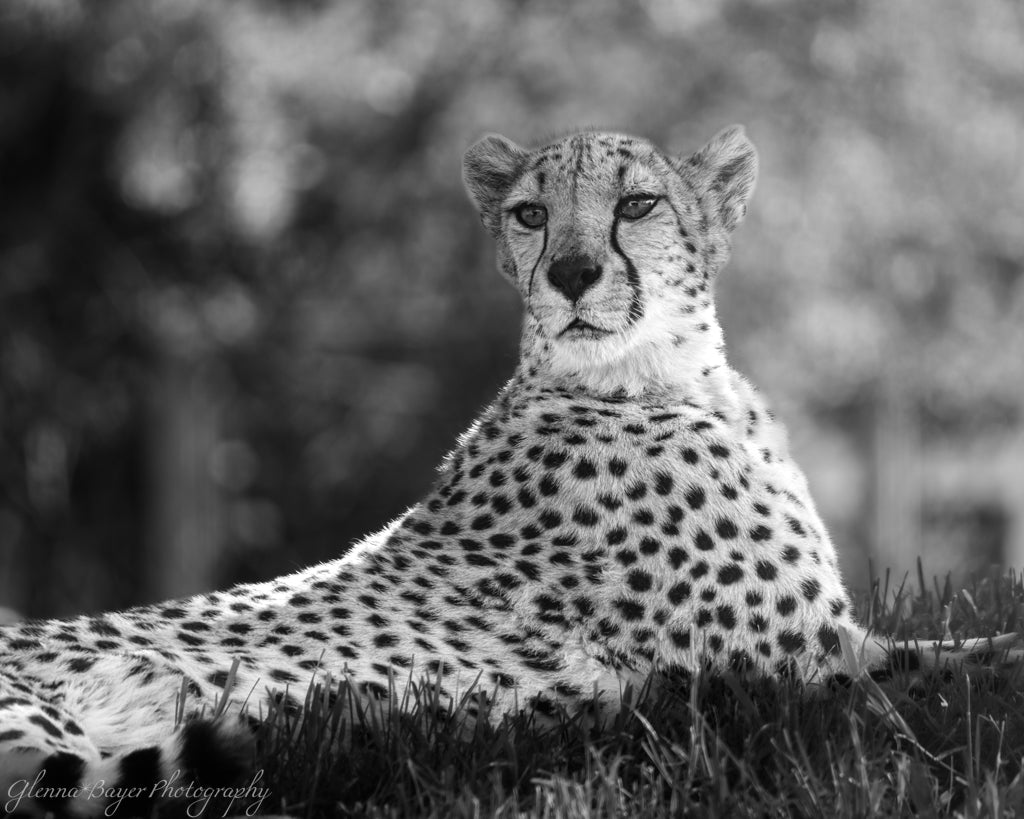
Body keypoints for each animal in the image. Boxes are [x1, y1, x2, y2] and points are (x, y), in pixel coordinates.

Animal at [0, 124, 1018, 817]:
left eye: (638, 204)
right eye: (531, 214)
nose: (569, 273)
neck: (660, 372)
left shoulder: (820, 659)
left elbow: (980, 654)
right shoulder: (802, 673)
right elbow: (981, 662)